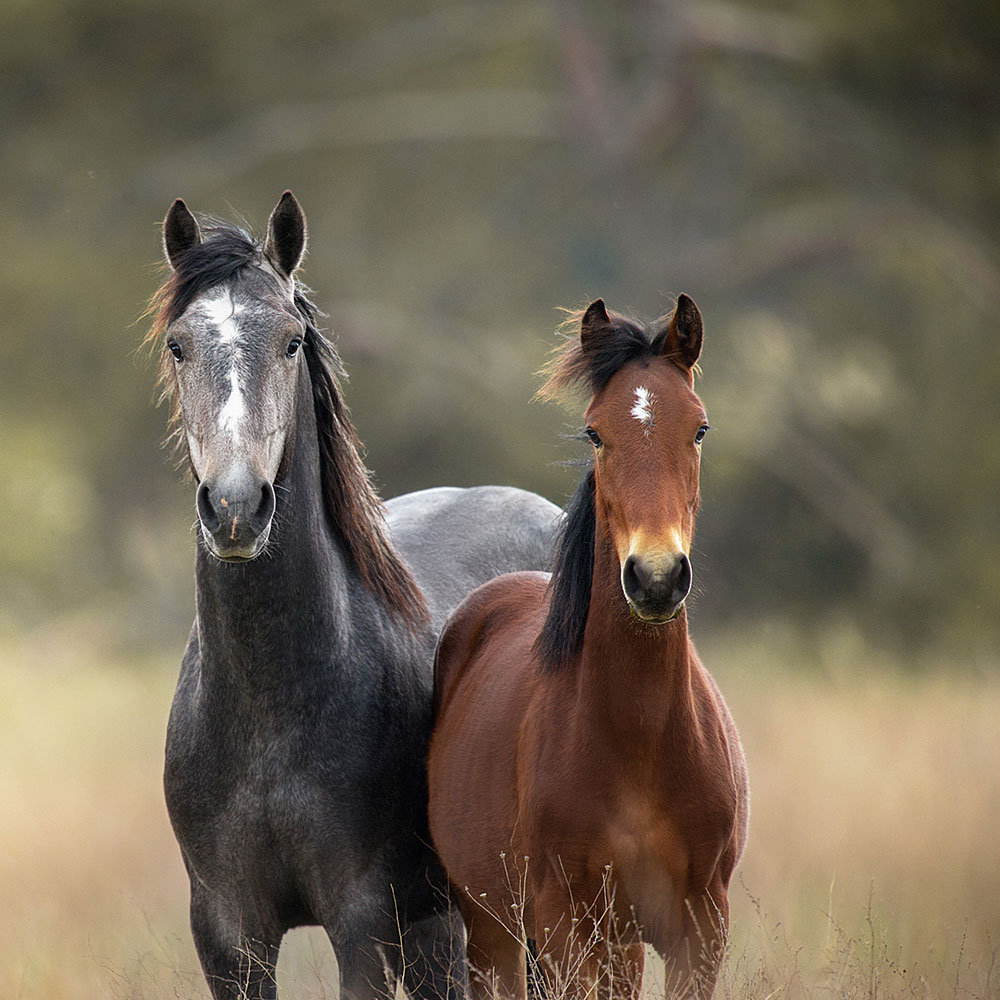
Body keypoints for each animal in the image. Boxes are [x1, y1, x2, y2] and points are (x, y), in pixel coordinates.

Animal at [150, 189, 564, 1000]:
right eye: (180, 346)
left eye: (290, 342)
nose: (236, 508)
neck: (269, 708)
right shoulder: (228, 935)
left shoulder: (364, 922)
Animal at [426, 296, 748, 1000]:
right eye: (595, 433)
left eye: (700, 429)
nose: (655, 577)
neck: (641, 739)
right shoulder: (566, 925)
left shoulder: (701, 928)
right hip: (495, 931)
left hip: (619, 944)